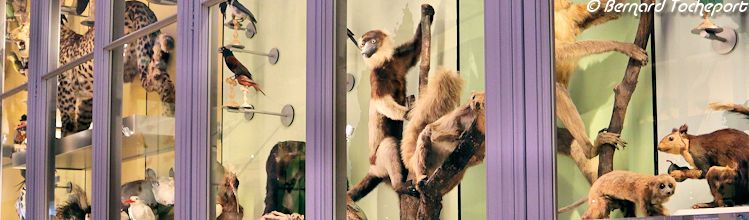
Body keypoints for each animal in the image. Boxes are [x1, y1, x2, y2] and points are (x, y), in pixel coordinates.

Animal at [348, 3, 436, 203]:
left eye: (371, 42)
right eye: (363, 44)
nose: (364, 50)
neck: (386, 64)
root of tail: (374, 170)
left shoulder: (398, 59)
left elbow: (416, 48)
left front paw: (428, 12)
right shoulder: (376, 76)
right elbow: (381, 102)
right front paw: (410, 113)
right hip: (379, 164)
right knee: (389, 144)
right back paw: (400, 186)